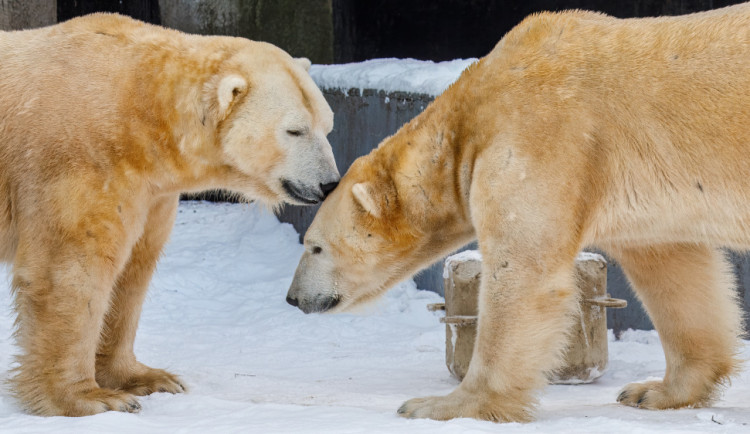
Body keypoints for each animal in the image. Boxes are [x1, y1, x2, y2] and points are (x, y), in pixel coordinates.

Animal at [0, 11, 340, 416]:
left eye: (327, 125)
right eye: (294, 130)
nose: (329, 184)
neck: (138, 109)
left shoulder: (150, 191)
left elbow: (133, 268)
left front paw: (148, 378)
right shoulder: (77, 158)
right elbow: (70, 268)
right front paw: (92, 399)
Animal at [286, 2, 750, 424]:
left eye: (314, 247)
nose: (292, 298)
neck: (473, 112)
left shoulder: (539, 136)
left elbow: (524, 273)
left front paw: (441, 406)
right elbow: (674, 268)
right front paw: (653, 391)